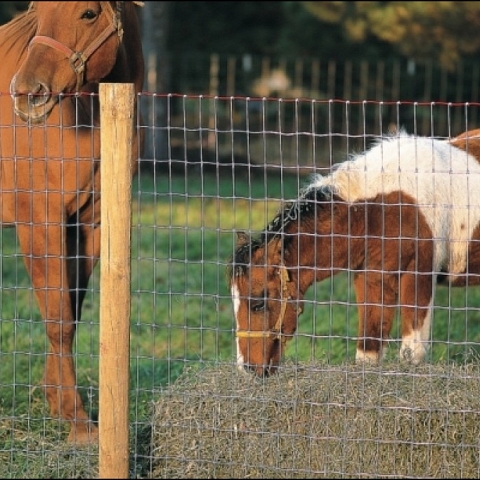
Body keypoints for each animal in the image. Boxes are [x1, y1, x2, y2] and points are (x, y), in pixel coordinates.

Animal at [0, 0, 144, 442]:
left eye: (89, 13)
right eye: (36, 9)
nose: (27, 92)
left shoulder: (88, 225)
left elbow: (71, 312)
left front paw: (58, 404)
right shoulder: (39, 224)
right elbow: (58, 318)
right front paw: (79, 422)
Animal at [227, 129, 480, 376]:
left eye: (258, 303)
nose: (246, 368)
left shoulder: (418, 277)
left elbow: (411, 355)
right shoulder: (371, 279)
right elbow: (368, 353)